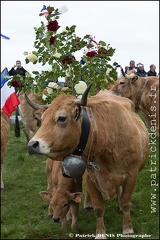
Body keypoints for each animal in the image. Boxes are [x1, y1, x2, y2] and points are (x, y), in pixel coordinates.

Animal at [27, 86, 149, 238]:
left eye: (61, 118)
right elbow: (98, 207)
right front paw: (100, 232)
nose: (32, 145)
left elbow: (126, 203)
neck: (106, 135)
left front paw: (127, 228)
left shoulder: (131, 175)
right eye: (42, 119)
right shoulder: (89, 177)